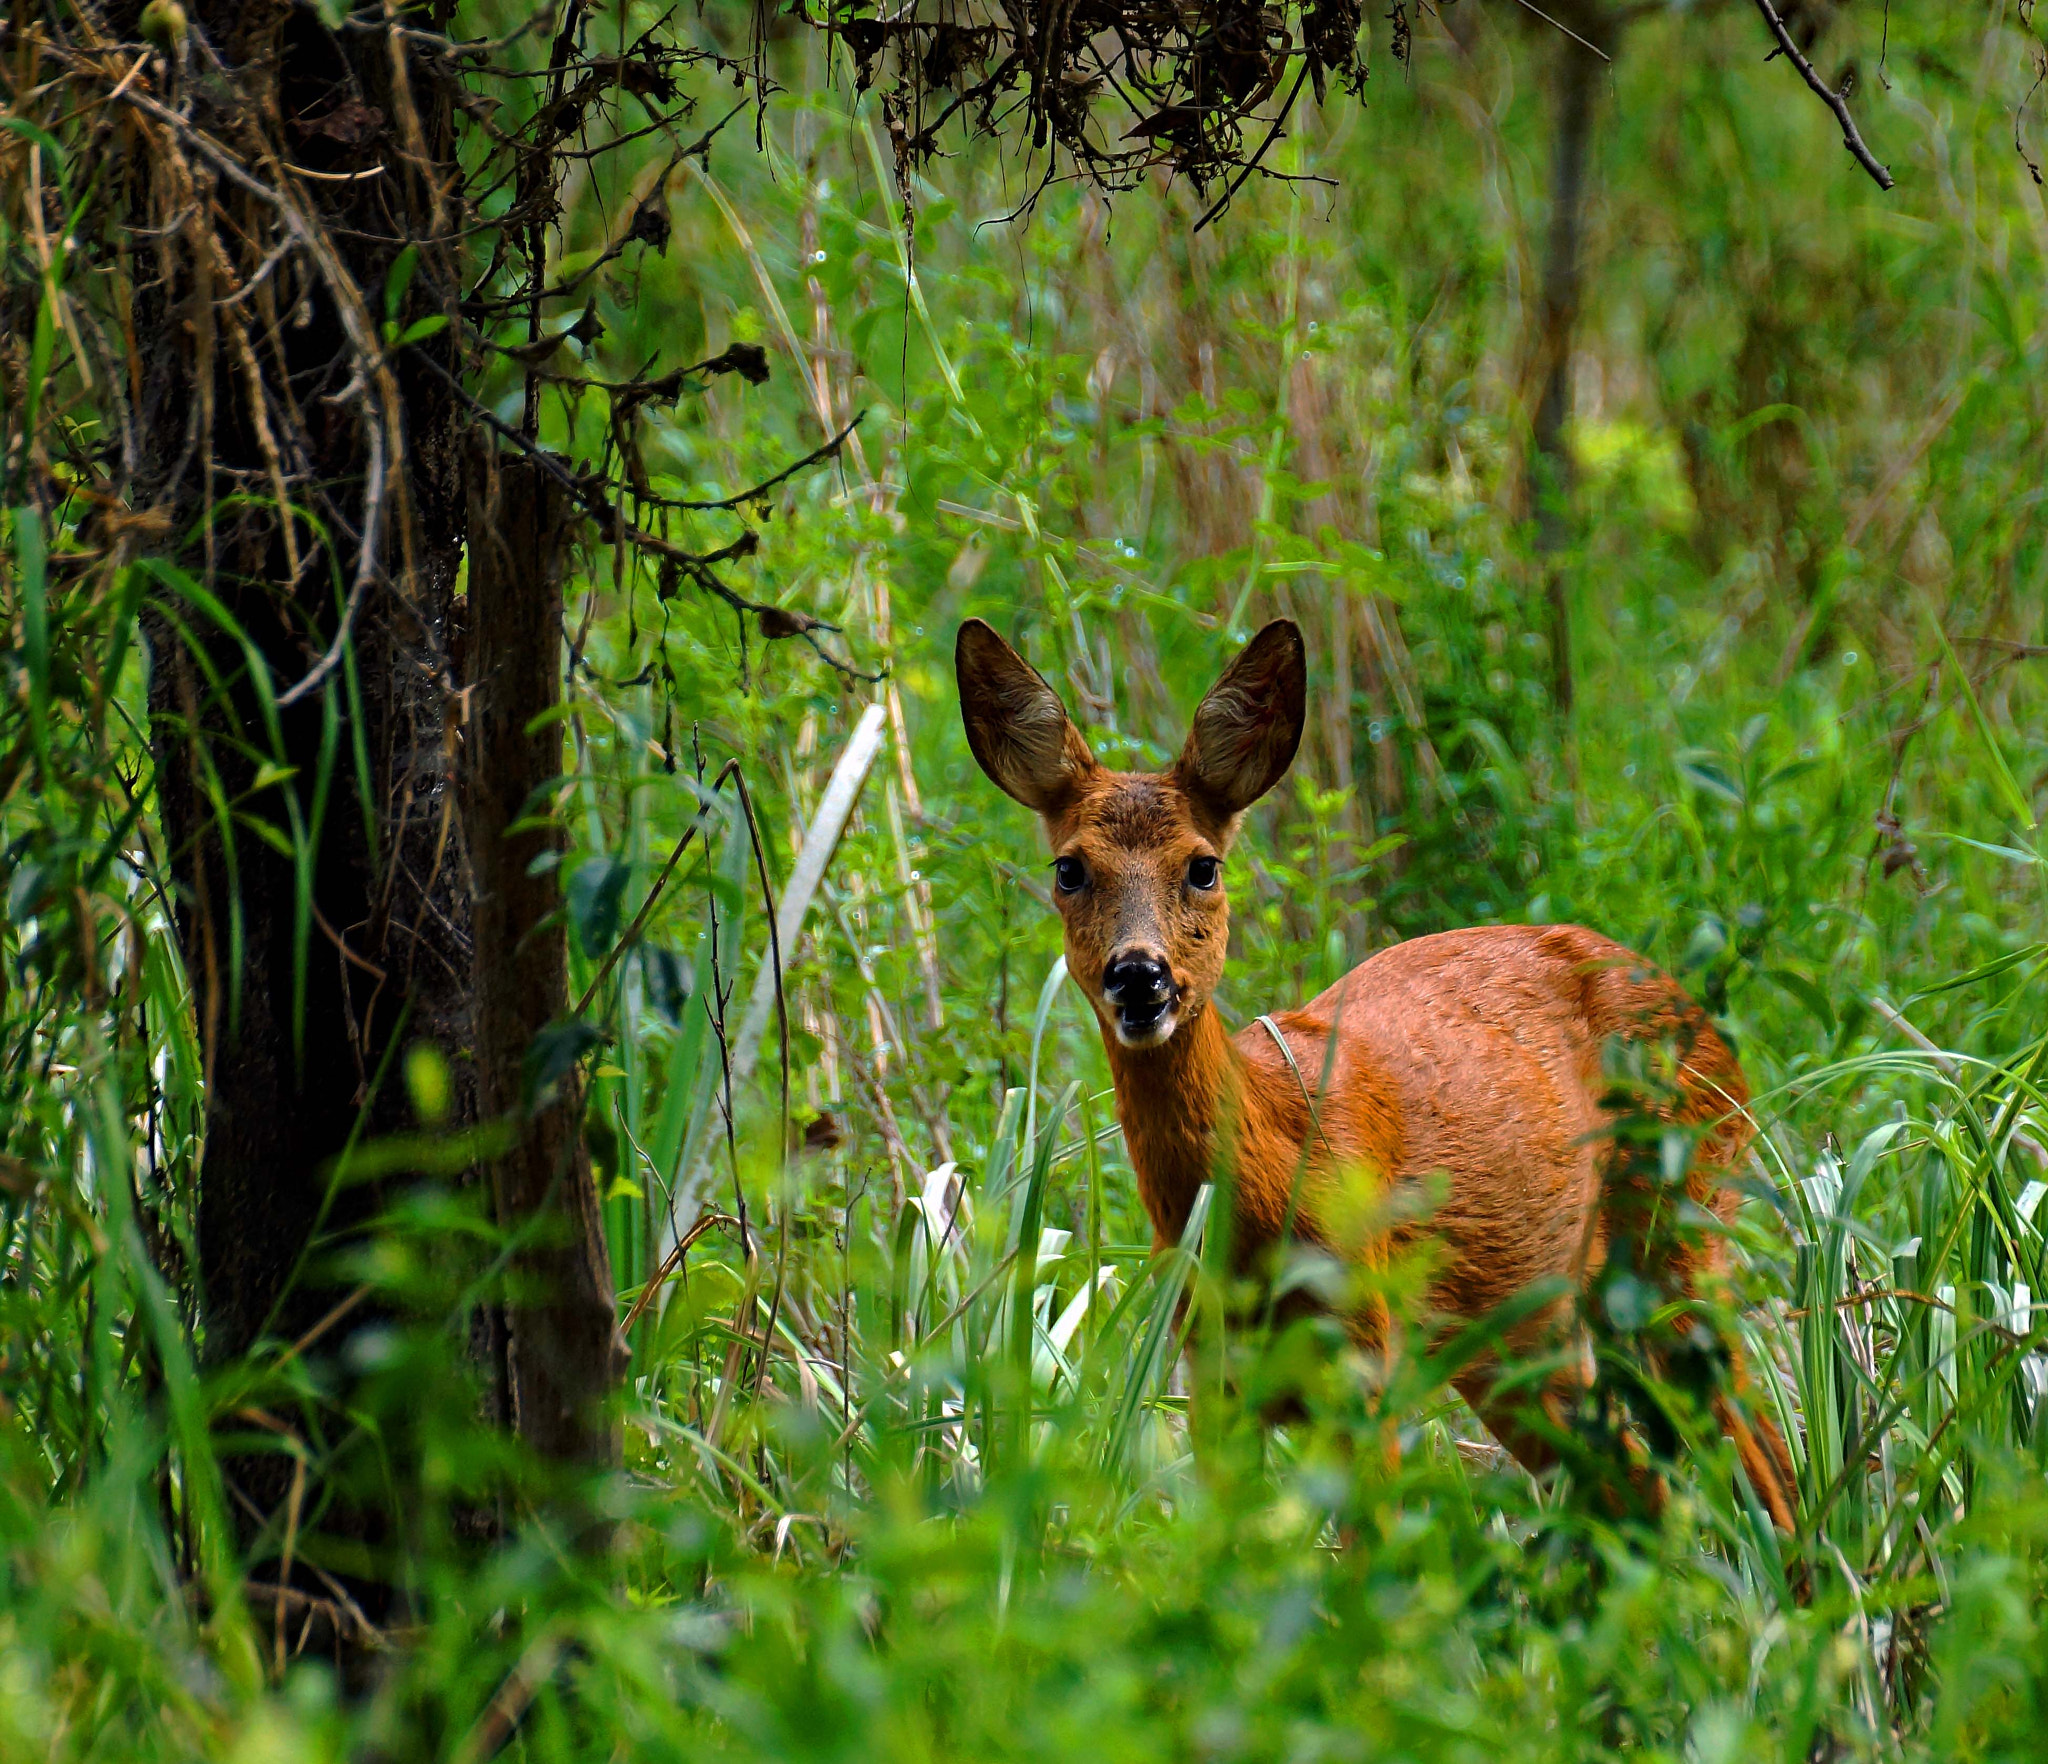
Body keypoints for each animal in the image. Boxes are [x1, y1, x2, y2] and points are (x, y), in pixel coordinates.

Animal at [954, 614, 1794, 1524]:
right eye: (1070, 869)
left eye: (1202, 865)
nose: (1139, 976)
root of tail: (1706, 1023)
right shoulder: (1211, 1375)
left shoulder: (1363, 1359)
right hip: (1529, 1333)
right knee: (1645, 1489)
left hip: (1681, 1219)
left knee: (1759, 1455)